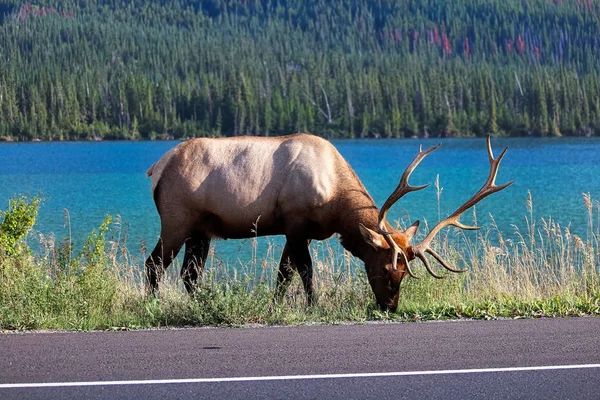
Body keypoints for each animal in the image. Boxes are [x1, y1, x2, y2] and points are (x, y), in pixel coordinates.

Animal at [144, 133, 510, 310]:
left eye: (405, 273)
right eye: (386, 269)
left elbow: (283, 276)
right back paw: (153, 306)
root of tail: (156, 168)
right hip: (176, 220)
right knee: (154, 264)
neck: (336, 202)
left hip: (201, 231)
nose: (390, 307)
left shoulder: (301, 233)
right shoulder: (294, 223)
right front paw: (313, 306)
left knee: (189, 275)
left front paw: (276, 307)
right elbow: (305, 273)